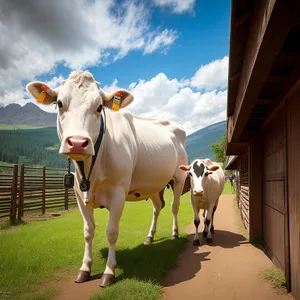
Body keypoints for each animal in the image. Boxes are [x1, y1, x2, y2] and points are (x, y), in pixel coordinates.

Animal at [27, 71, 189, 288]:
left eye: (98, 107)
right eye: (59, 103)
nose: (77, 143)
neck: (91, 168)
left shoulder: (118, 194)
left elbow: (111, 232)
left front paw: (109, 272)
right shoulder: (79, 196)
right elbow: (88, 231)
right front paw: (85, 269)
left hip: (179, 177)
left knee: (174, 207)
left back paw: (174, 233)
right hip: (154, 184)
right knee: (157, 207)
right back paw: (149, 237)